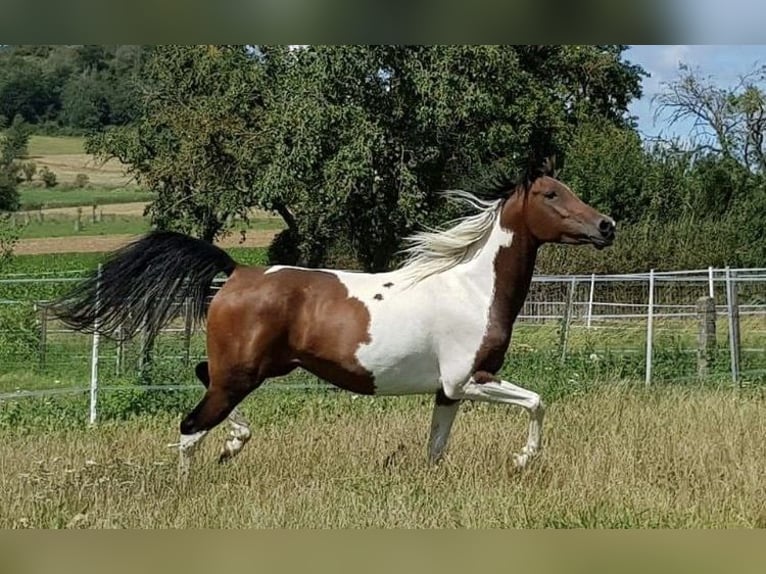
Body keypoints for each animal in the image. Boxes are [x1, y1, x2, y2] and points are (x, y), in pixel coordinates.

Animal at [52, 160, 615, 480]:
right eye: (551, 194)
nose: (607, 225)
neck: (473, 289)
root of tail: (236, 272)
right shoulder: (470, 380)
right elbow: (538, 402)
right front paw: (522, 461)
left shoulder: (448, 392)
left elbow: (435, 449)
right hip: (243, 374)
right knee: (190, 425)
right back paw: (195, 477)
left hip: (251, 369)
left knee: (202, 382)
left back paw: (235, 443)